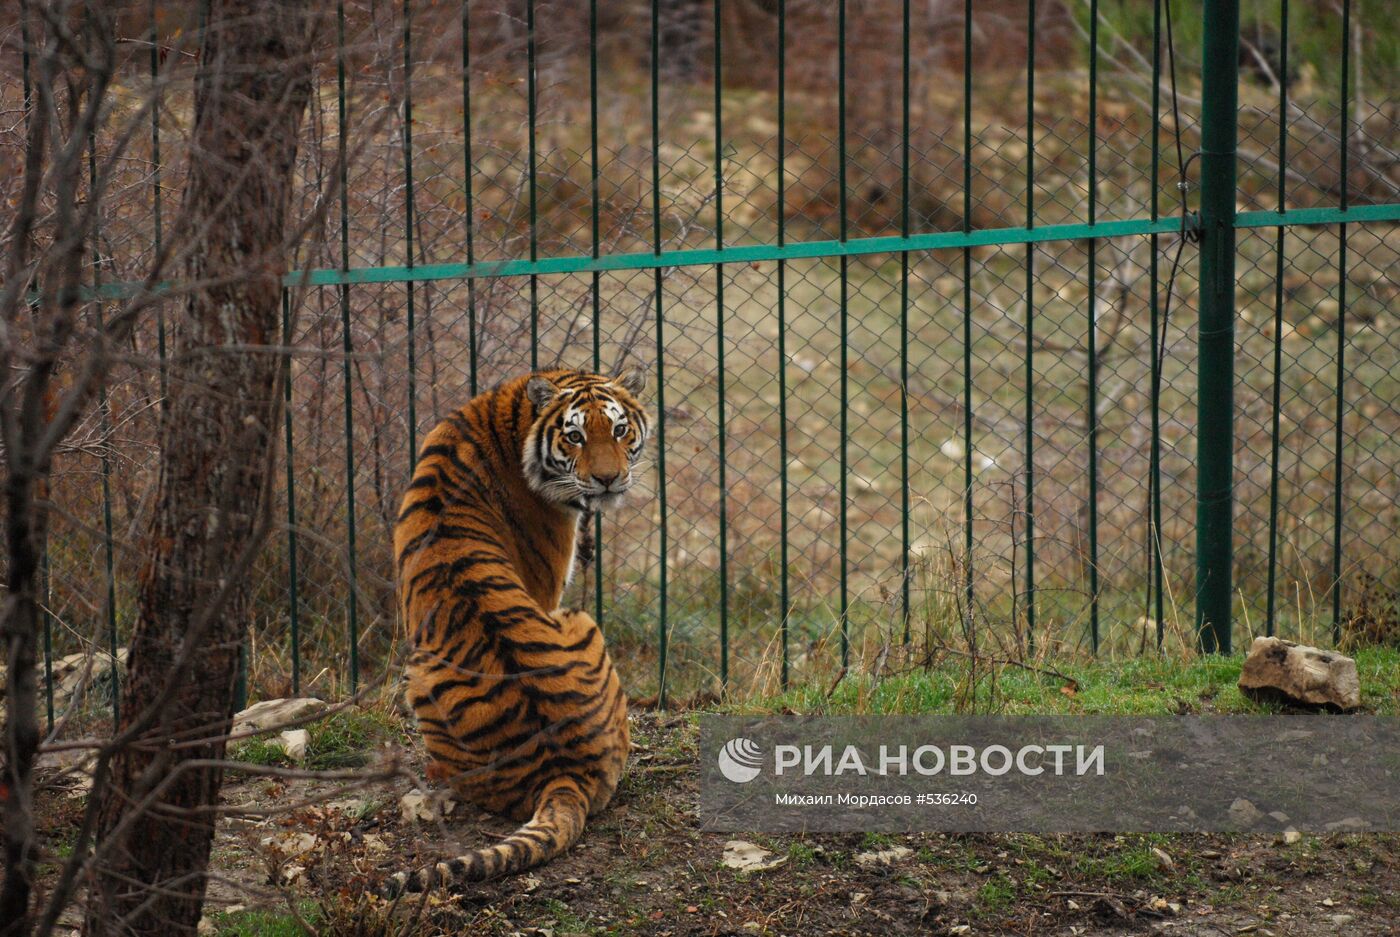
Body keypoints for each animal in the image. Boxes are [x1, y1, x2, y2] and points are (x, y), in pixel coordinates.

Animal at [389, 366, 649, 890]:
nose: (608, 480)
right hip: (574, 620)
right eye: (575, 436)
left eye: (618, 429)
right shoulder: (548, 592)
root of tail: (562, 770)